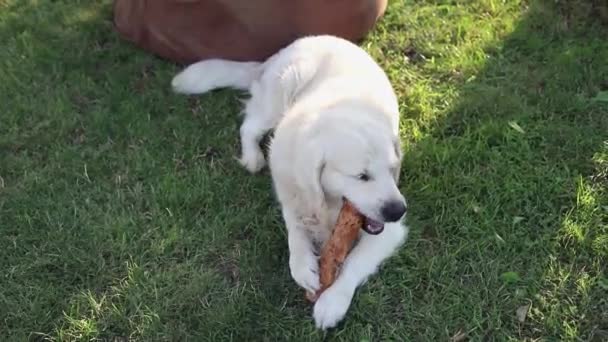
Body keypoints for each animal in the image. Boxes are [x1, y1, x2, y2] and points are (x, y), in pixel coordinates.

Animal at [171, 34, 408, 328]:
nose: (399, 211)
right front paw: (303, 267)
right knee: (249, 126)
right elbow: (295, 233)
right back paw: (252, 157)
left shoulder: (390, 232)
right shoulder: (291, 194)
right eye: (362, 176)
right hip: (284, 87)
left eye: (392, 169)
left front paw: (332, 303)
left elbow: (353, 263)